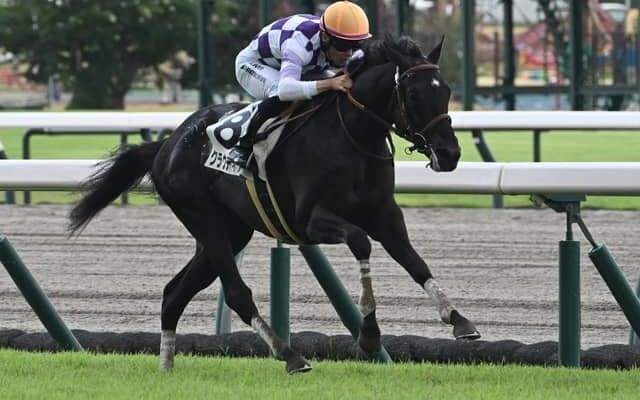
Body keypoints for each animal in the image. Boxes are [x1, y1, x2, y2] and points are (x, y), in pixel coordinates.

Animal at [68, 35, 480, 374]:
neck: (352, 135)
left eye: (446, 91)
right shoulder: (312, 221)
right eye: (414, 94)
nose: (450, 154)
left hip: (230, 231)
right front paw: (370, 334)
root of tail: (166, 145)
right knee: (236, 293)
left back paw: (167, 369)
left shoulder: (385, 215)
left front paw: (460, 321)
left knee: (174, 294)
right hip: (203, 218)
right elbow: (361, 242)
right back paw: (290, 355)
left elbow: (415, 261)